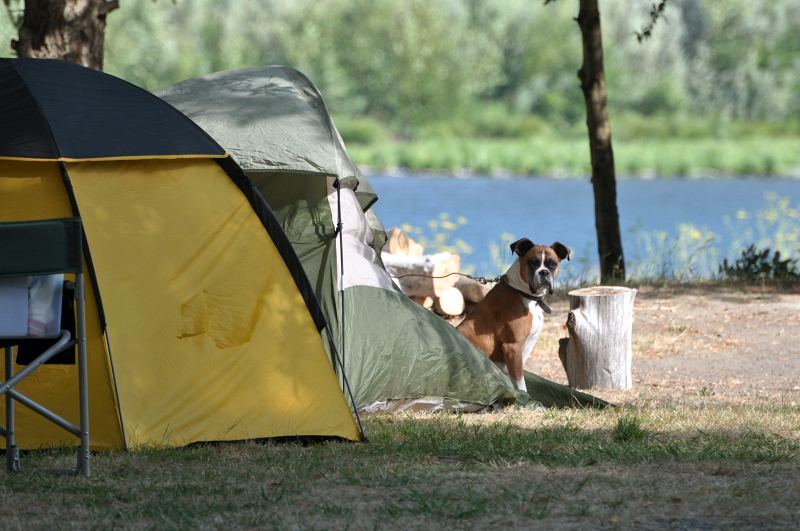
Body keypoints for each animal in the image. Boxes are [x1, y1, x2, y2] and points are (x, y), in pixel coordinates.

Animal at [456, 239, 568, 392]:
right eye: (533, 262)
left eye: (553, 264)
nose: (544, 272)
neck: (524, 294)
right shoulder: (512, 347)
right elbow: (520, 383)